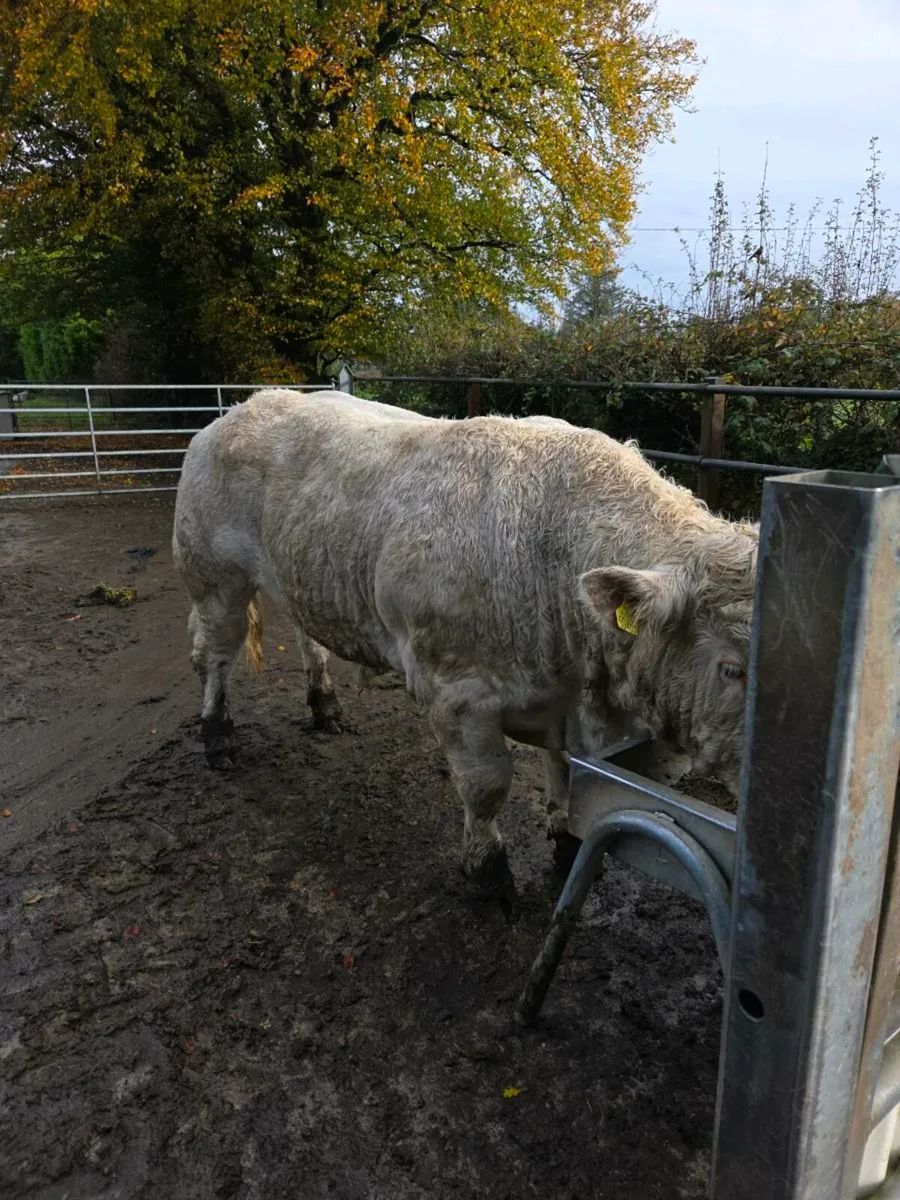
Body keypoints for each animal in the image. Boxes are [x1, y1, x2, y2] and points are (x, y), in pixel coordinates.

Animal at [172, 389, 758, 882]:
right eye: (732, 667)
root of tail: (244, 405)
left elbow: (571, 785)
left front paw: (565, 845)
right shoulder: (456, 690)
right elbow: (487, 785)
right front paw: (488, 870)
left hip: (297, 574)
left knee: (305, 637)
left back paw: (324, 705)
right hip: (213, 577)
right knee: (212, 655)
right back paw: (218, 735)